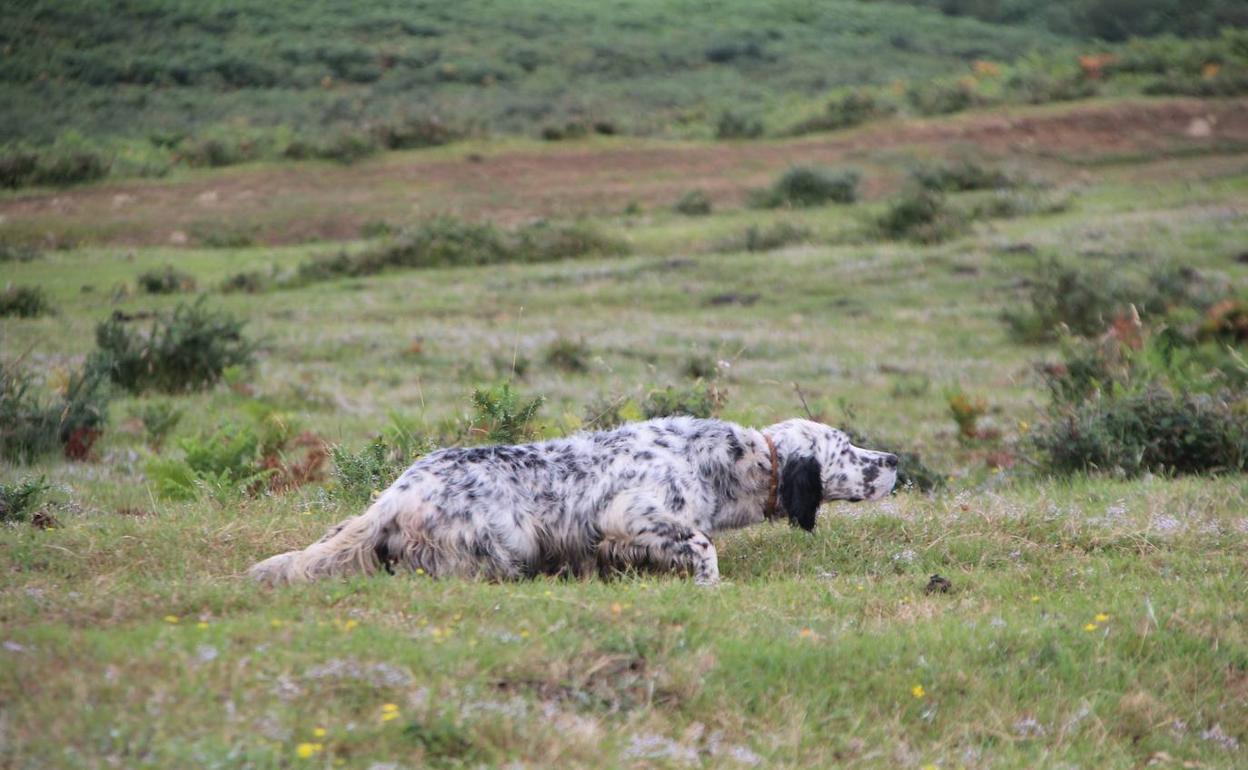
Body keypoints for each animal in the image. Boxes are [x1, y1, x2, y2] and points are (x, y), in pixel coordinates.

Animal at [250, 416, 898, 586]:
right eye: (847, 448)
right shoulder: (631, 515)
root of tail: (394, 495)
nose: (894, 460)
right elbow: (703, 544)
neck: (724, 459)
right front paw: (708, 586)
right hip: (502, 546)